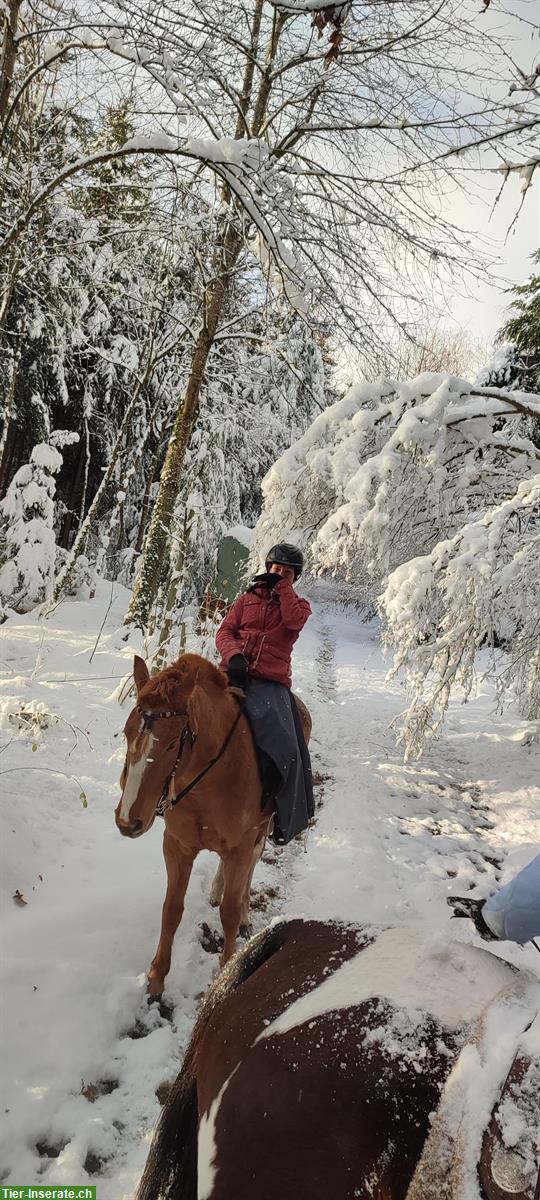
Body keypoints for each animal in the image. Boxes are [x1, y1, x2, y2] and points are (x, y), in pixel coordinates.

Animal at [114, 657, 312, 993]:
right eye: (127, 733)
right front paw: (156, 977)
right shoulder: (177, 845)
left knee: (253, 865)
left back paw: (244, 911)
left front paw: (225, 972)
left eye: (171, 744)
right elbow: (171, 909)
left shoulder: (241, 846)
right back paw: (219, 887)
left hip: (262, 831)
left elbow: (228, 914)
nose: (128, 821)